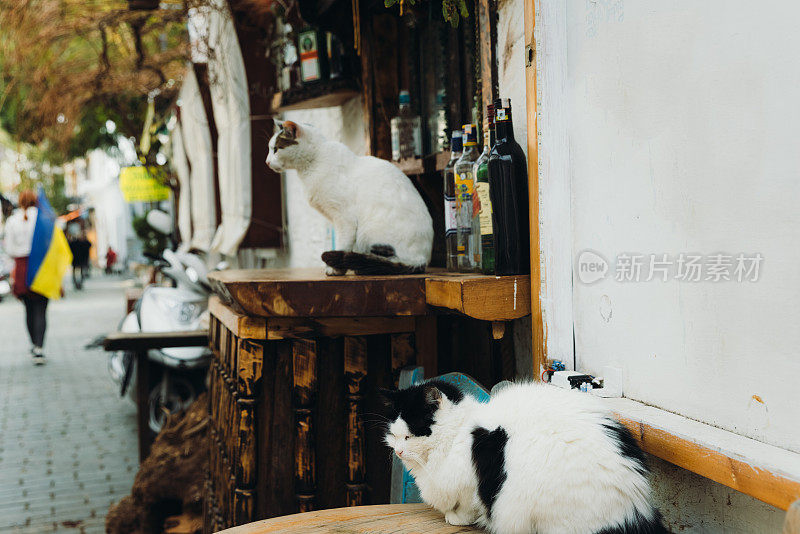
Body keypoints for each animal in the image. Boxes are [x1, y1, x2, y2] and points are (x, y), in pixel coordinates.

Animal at [268, 120, 432, 276]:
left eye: (276, 149)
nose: (267, 162)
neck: (313, 163)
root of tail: (421, 260)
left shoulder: (344, 218)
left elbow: (343, 244)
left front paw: (335, 269)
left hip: (367, 233)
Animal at [382, 382, 668, 534]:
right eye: (393, 435)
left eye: (409, 436)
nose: (398, 451)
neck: (458, 434)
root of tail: (634, 510)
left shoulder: (471, 484)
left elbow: (468, 506)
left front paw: (457, 518)